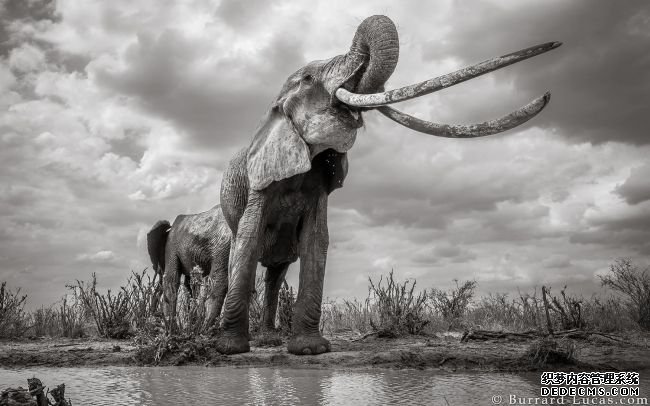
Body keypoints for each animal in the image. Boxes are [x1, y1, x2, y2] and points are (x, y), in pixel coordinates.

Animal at [211, 15, 556, 356]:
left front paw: (310, 350)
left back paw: (269, 340)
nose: (554, 44)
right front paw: (230, 350)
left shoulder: (319, 184)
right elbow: (249, 239)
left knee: (276, 273)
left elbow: (316, 240)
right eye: (308, 78)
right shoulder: (258, 181)